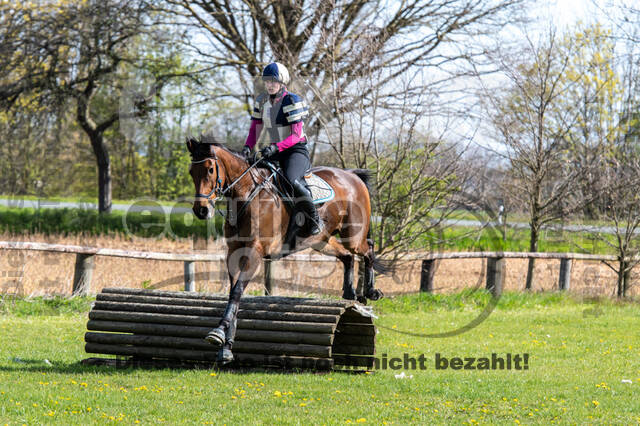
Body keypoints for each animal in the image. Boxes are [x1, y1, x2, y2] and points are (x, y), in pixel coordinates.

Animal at [184, 136, 384, 362]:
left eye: (210, 169)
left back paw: (371, 291)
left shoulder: (255, 250)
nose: (201, 210)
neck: (246, 193)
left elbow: (236, 292)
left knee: (367, 248)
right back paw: (349, 294)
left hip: (353, 235)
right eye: (191, 171)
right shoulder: (234, 251)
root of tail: (351, 175)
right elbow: (234, 293)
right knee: (347, 256)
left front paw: (218, 332)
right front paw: (226, 348)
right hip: (321, 240)